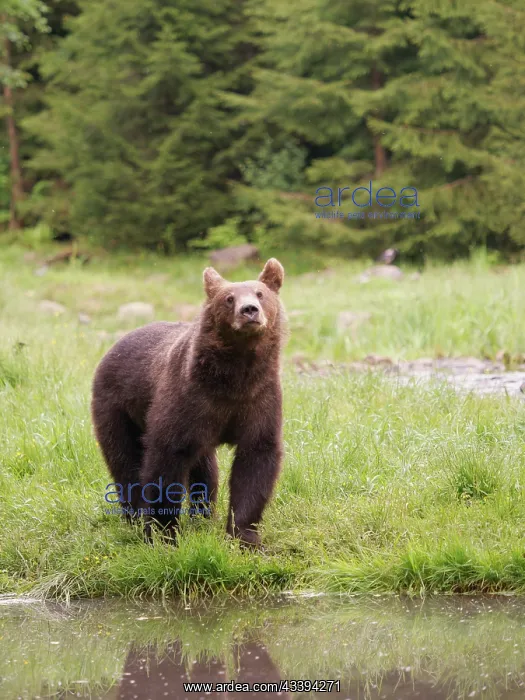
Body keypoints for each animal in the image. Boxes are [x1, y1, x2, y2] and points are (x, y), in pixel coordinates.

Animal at [91, 258, 286, 547]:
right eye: (229, 298)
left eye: (260, 293)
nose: (249, 310)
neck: (235, 376)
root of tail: (115, 344)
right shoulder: (189, 399)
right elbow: (166, 459)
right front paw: (163, 532)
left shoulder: (259, 399)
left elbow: (255, 460)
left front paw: (245, 536)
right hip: (117, 407)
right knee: (123, 458)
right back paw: (134, 516)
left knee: (204, 469)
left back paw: (203, 515)